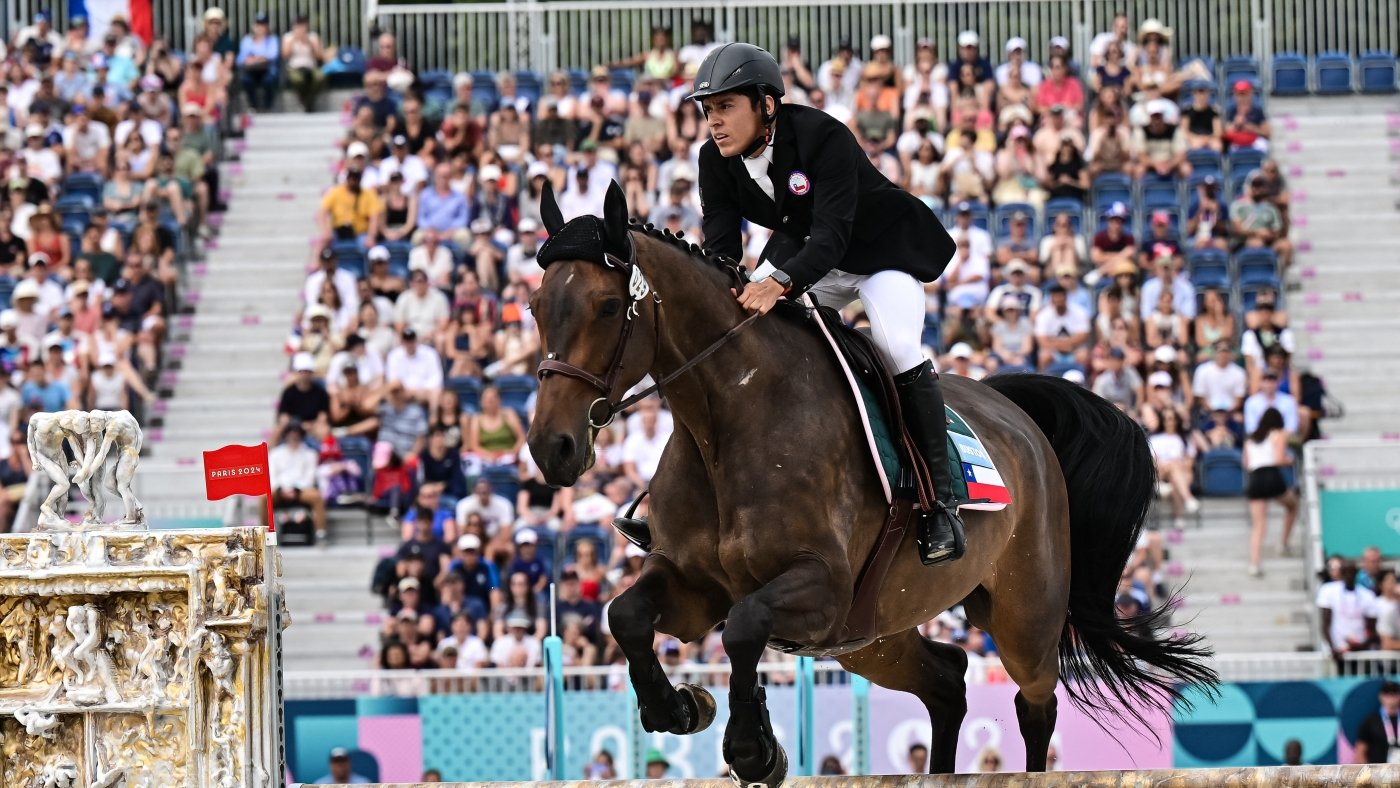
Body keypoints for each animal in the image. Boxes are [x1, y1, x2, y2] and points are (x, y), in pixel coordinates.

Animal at [526, 183, 1215, 783]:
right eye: (535, 308)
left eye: (608, 307)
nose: (551, 448)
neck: (726, 424)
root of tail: (1017, 416)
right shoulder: (695, 585)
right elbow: (626, 614)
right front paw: (680, 708)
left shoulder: (823, 586)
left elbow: (745, 624)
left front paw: (753, 751)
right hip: (871, 638)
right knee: (947, 679)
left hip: (1023, 615)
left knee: (1035, 700)